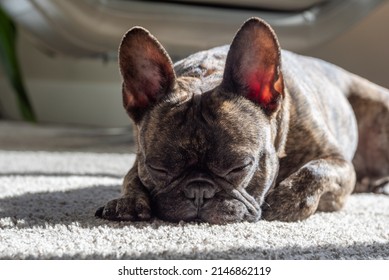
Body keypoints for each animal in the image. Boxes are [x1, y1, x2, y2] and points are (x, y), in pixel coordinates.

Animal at [94, 17, 388, 224]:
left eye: (239, 167)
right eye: (158, 169)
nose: (198, 191)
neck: (207, 72)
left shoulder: (339, 163)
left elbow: (314, 171)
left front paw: (285, 200)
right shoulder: (138, 160)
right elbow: (131, 177)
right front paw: (128, 201)